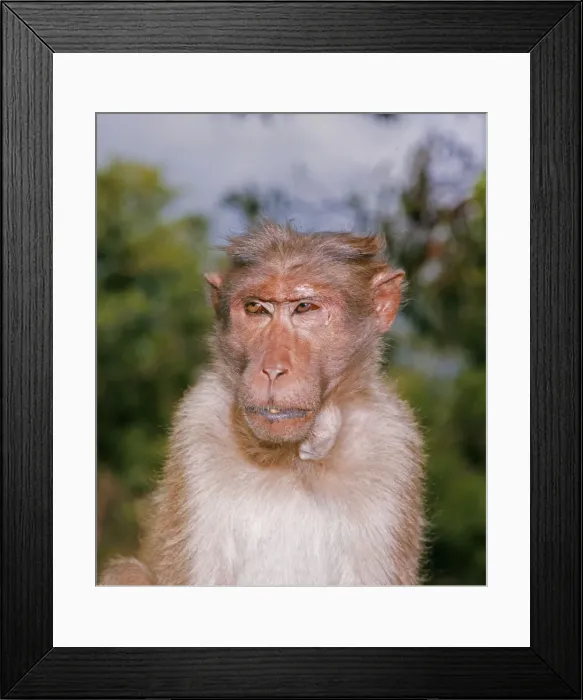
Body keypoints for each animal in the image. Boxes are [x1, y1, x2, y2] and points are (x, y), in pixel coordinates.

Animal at [100, 221, 425, 586]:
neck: (292, 460)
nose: (272, 369)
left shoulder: (391, 446)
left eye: (305, 308)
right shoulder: (198, 425)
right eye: (256, 308)